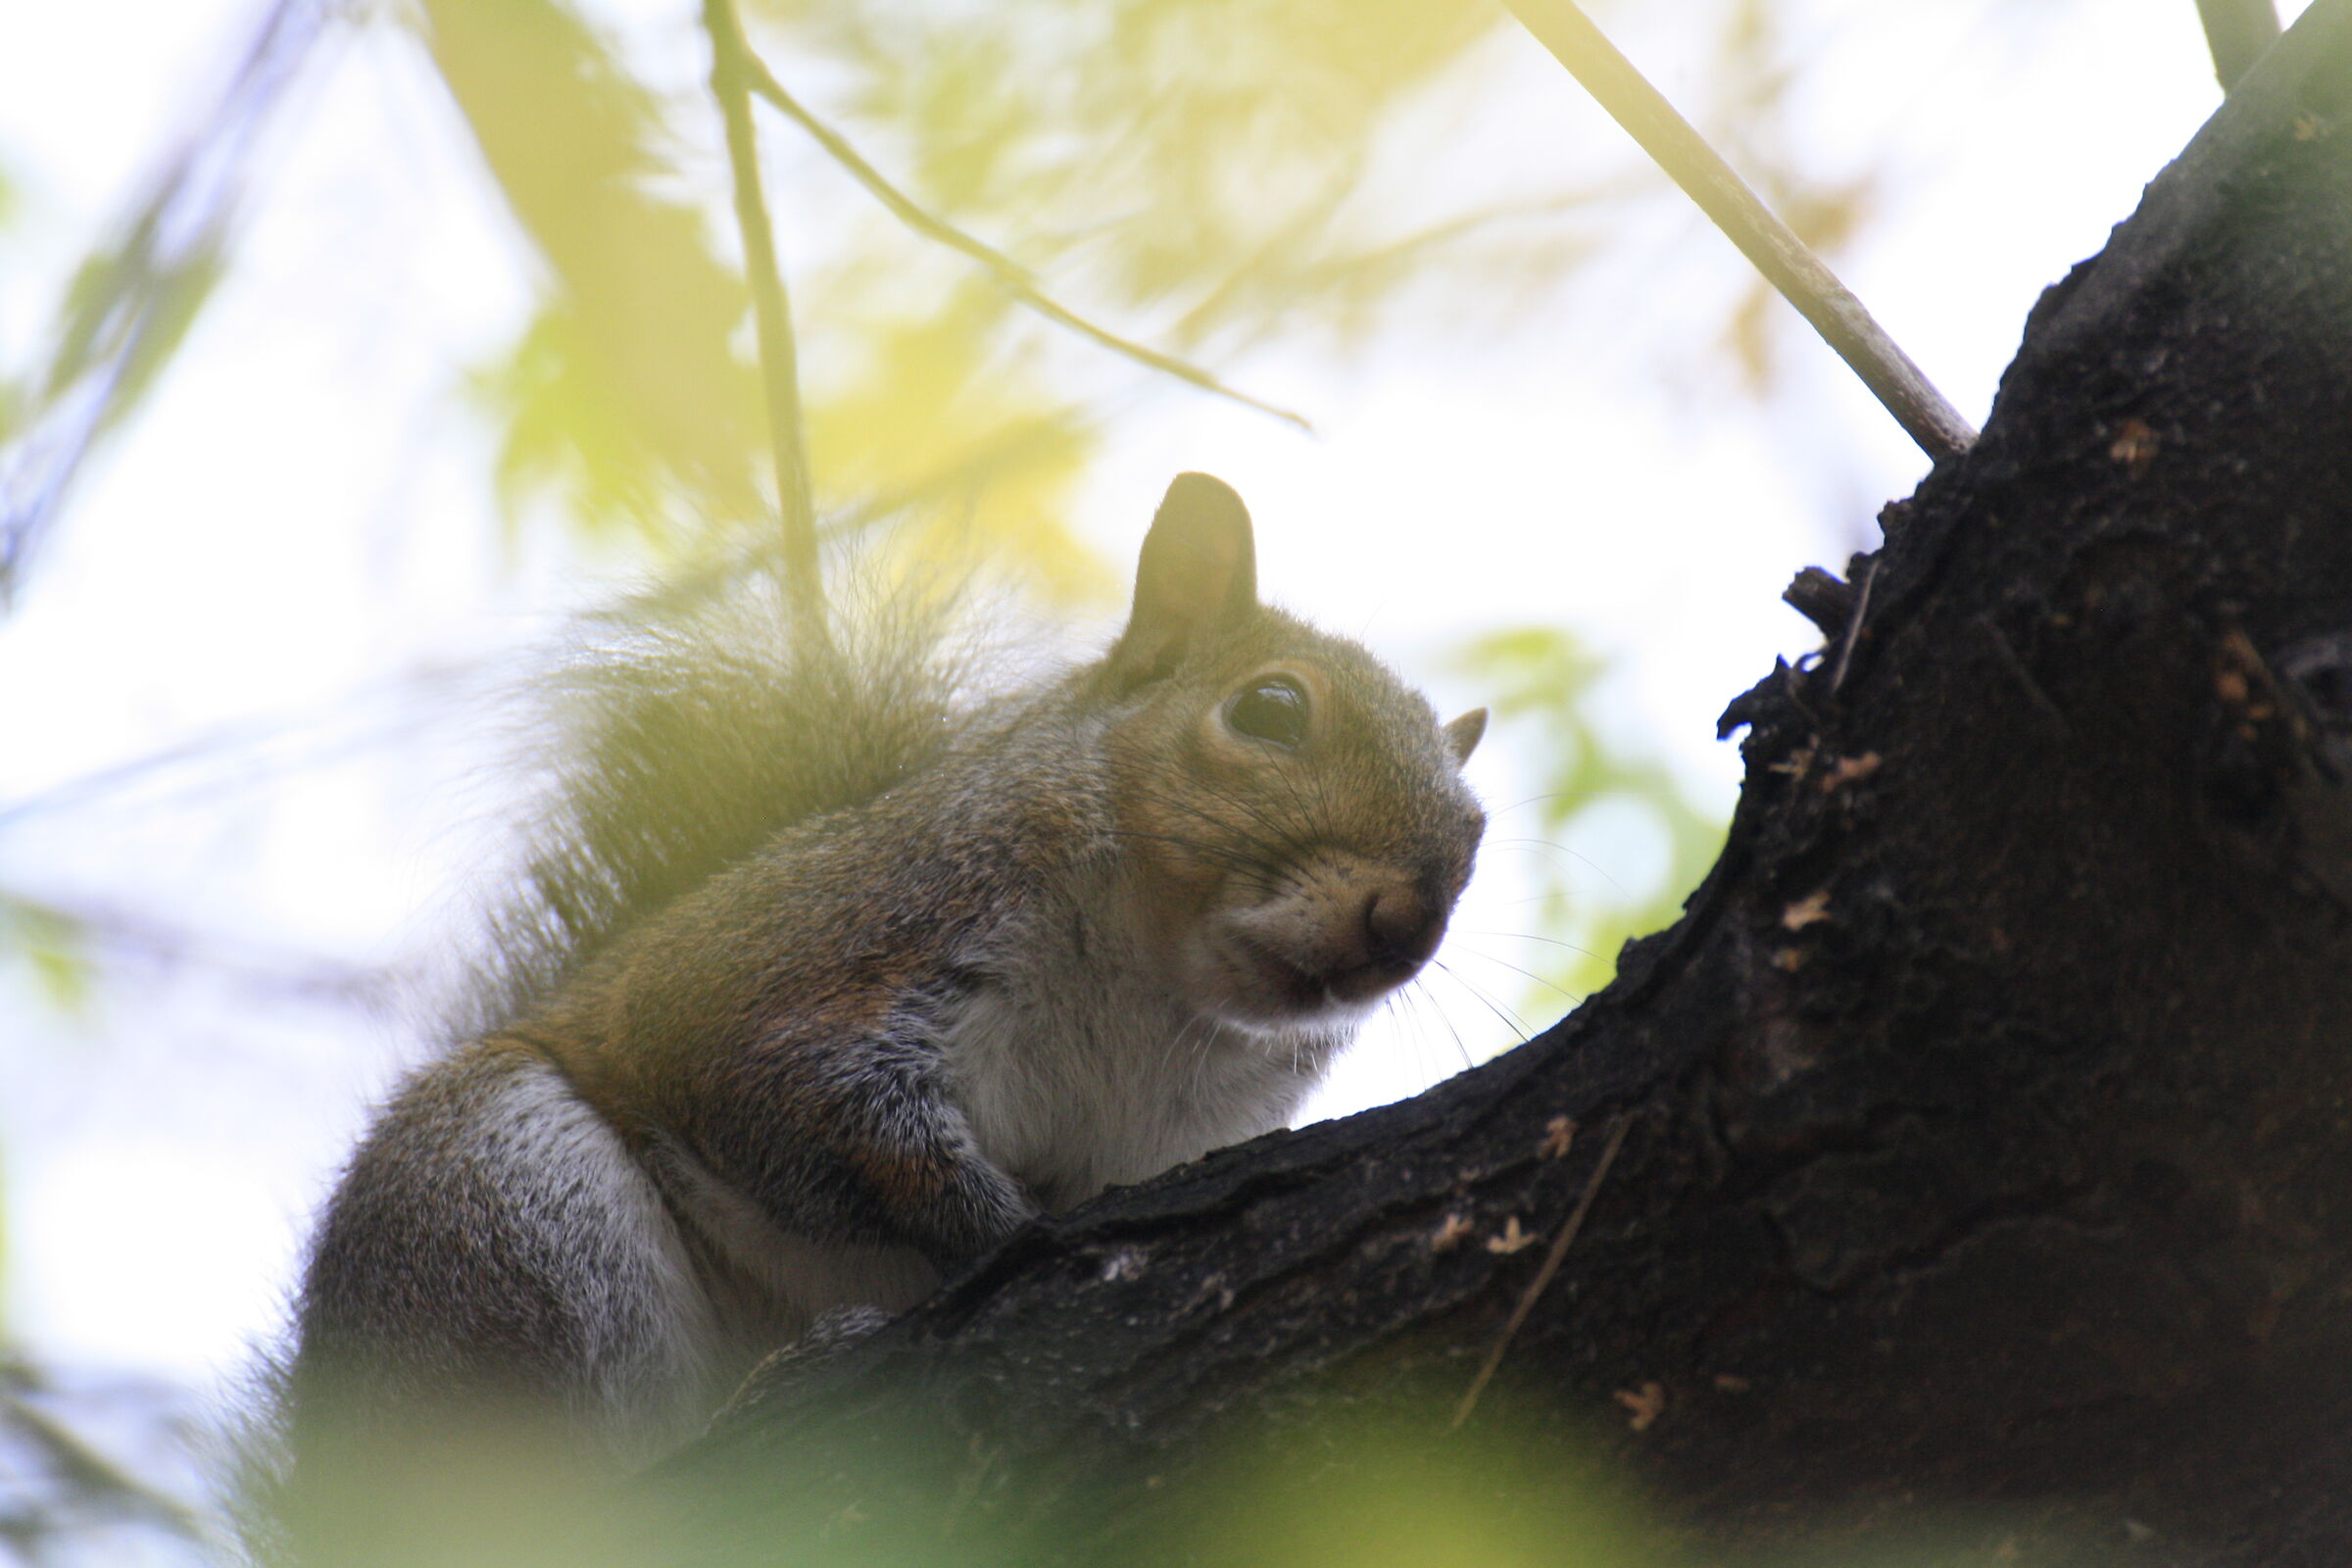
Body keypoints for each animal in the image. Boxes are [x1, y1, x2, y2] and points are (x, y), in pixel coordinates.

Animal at [280, 472, 1487, 1472]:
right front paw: (1006, 1232)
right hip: (496, 1198)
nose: (1406, 920)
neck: (1155, 989)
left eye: (1477, 832)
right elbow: (817, 1114)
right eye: (1270, 709)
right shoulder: (820, 960)